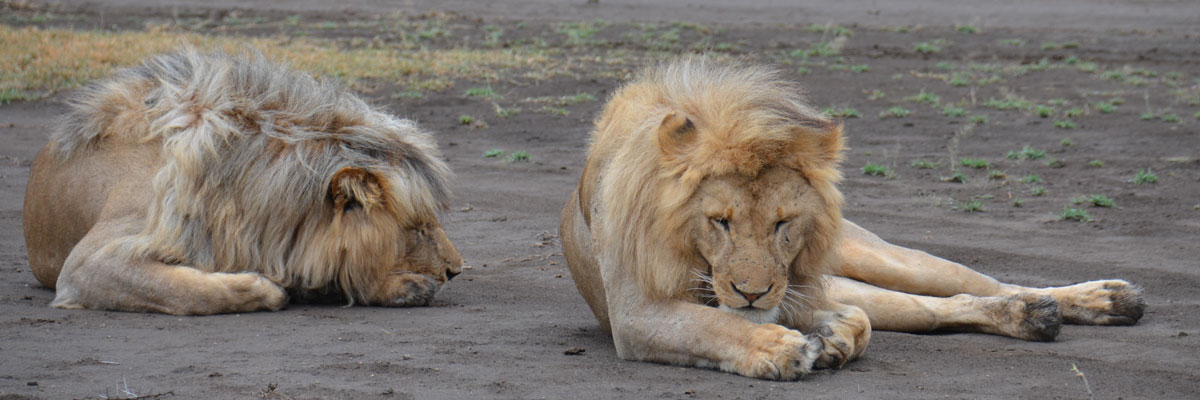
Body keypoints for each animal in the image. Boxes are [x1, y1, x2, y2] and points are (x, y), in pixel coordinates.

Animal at [560, 57, 1146, 380]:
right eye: (719, 221)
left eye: (783, 224)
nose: (752, 292)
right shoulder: (635, 313)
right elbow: (714, 325)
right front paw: (795, 346)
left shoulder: (792, 286)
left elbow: (737, 319)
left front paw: (824, 337)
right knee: (938, 309)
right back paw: (1033, 316)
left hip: (878, 256)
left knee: (977, 282)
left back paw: (1100, 299)